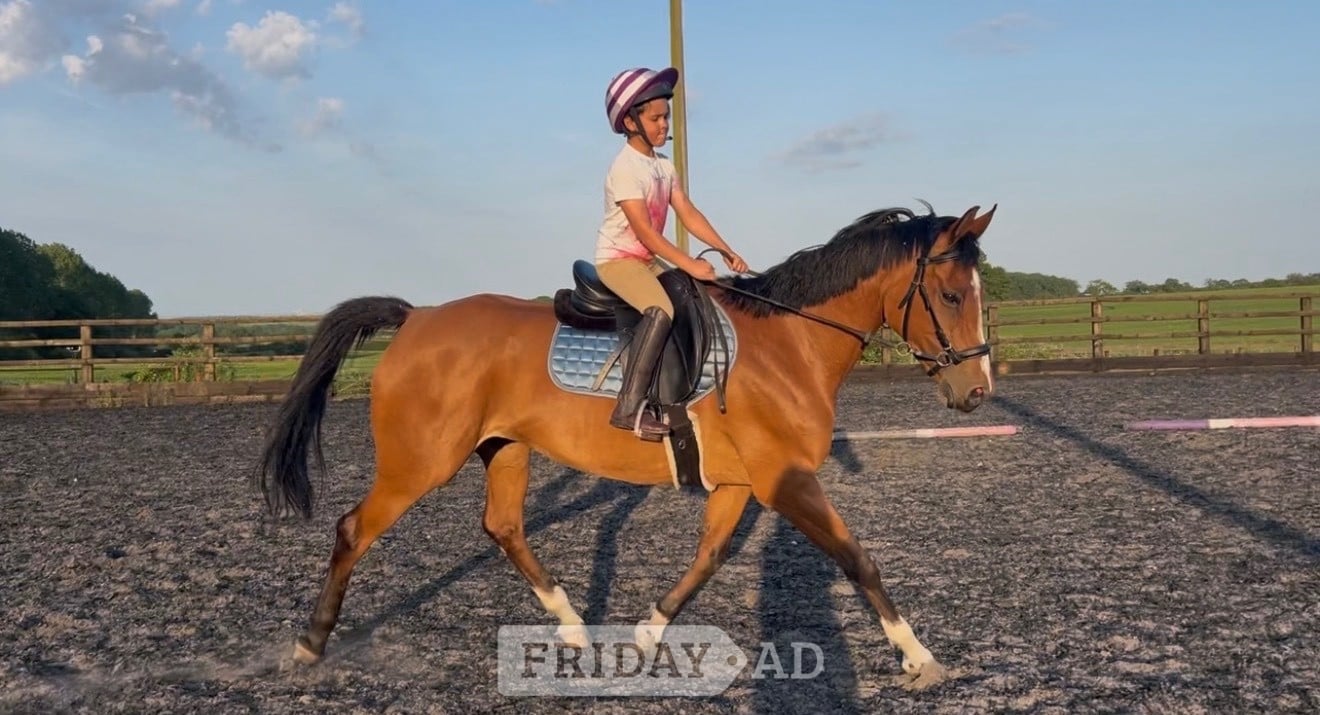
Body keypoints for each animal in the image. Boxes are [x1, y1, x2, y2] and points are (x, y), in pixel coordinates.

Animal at [256, 202, 998, 691]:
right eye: (950, 294)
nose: (978, 392)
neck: (790, 343)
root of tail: (417, 317)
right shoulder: (786, 480)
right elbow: (857, 559)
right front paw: (919, 656)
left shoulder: (740, 483)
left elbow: (710, 555)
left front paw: (648, 630)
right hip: (422, 462)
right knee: (354, 529)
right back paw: (310, 644)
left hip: (506, 447)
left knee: (503, 525)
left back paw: (574, 626)